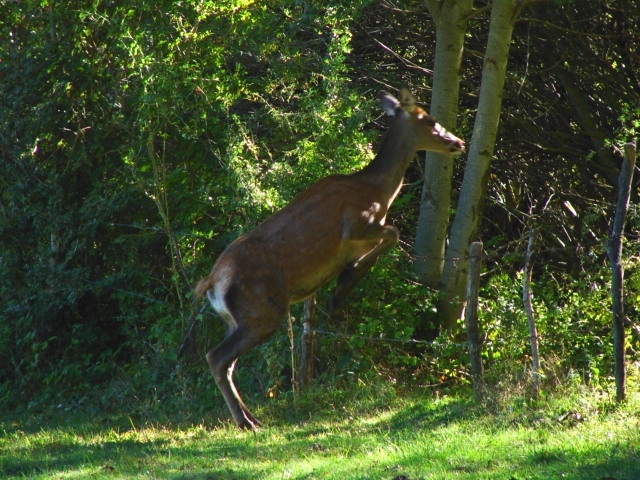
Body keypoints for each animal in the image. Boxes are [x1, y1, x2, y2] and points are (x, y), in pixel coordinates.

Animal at [195, 88, 464, 430]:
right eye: (430, 120)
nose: (459, 142)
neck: (379, 193)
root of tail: (211, 282)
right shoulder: (355, 224)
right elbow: (393, 232)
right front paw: (342, 287)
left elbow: (386, 237)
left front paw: (344, 279)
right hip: (262, 312)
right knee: (217, 357)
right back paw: (246, 422)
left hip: (237, 319)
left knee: (226, 363)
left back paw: (251, 417)